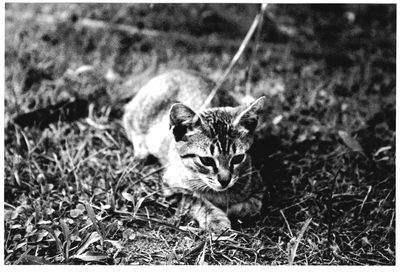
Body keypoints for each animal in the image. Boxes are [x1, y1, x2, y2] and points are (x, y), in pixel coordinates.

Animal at [122, 69, 266, 232]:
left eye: (238, 158)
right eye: (206, 160)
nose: (225, 180)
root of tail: (175, 70)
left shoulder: (258, 187)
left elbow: (250, 207)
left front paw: (229, 208)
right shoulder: (172, 187)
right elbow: (195, 200)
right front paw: (216, 218)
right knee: (127, 117)